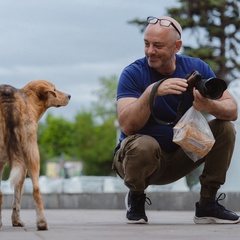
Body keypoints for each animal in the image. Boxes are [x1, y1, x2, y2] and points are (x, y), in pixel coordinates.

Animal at [0, 80, 71, 231]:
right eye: (54, 89)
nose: (69, 96)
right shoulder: (22, 165)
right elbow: (18, 197)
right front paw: (17, 221)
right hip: (33, 152)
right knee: (36, 189)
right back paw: (42, 222)